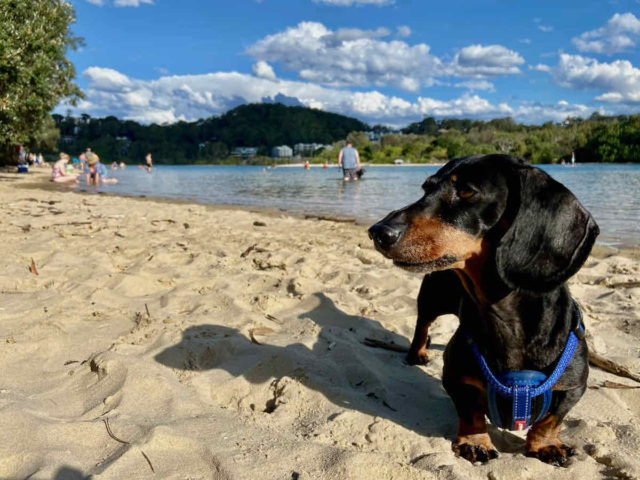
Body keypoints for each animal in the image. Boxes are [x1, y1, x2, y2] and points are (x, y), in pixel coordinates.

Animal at [368, 154, 596, 464]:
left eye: (466, 192)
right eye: (426, 189)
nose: (378, 232)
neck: (504, 316)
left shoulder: (574, 387)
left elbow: (551, 420)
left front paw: (546, 445)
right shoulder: (455, 376)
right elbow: (471, 412)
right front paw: (475, 443)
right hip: (432, 296)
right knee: (422, 324)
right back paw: (417, 353)